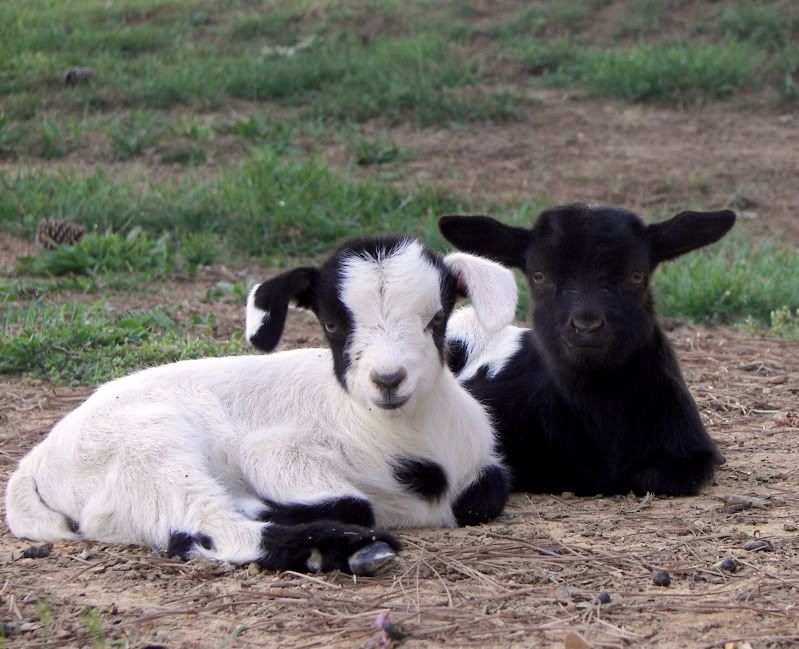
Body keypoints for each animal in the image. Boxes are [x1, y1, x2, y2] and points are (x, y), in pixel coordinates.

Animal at [6, 236, 515, 575]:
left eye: (437, 318)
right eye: (332, 324)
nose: (388, 380)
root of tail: (36, 461)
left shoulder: (482, 468)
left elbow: (484, 494)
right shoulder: (276, 452)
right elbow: (352, 501)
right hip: (147, 448)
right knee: (208, 525)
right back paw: (345, 548)